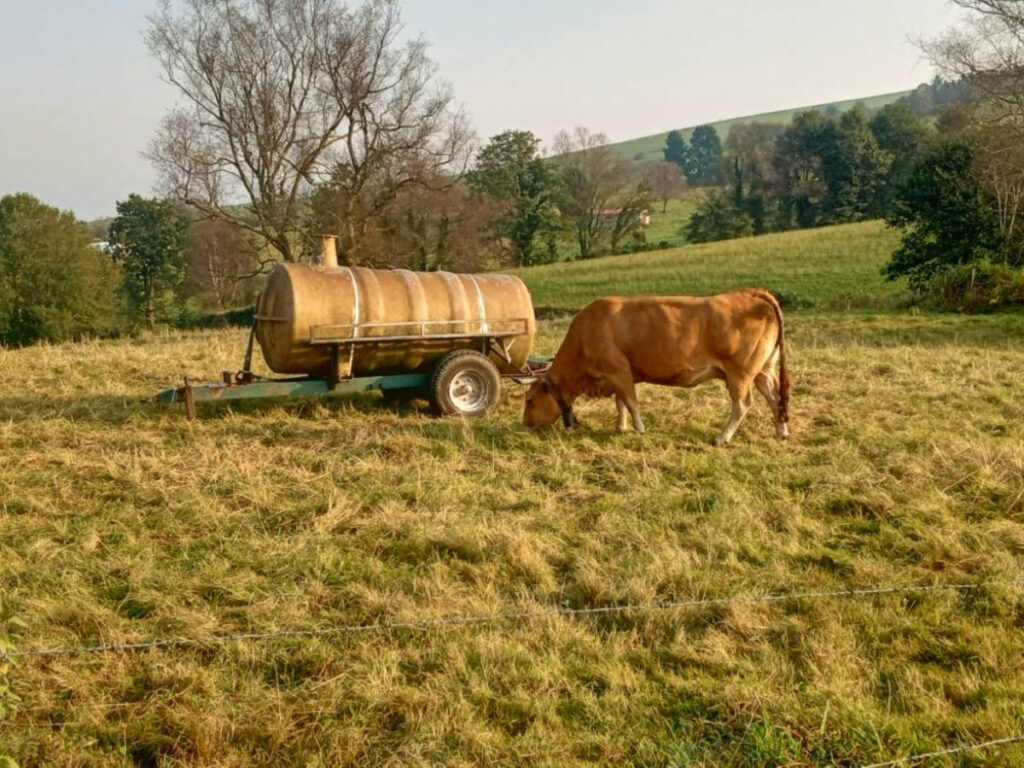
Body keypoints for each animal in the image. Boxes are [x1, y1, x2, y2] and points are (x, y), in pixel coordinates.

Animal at [522, 289, 790, 445]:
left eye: (529, 400)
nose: (525, 424)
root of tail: (751, 294)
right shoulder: (618, 375)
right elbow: (620, 403)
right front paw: (620, 427)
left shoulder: (618, 370)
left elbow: (630, 402)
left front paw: (639, 429)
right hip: (763, 369)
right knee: (775, 397)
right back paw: (781, 432)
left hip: (740, 374)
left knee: (742, 405)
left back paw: (722, 437)